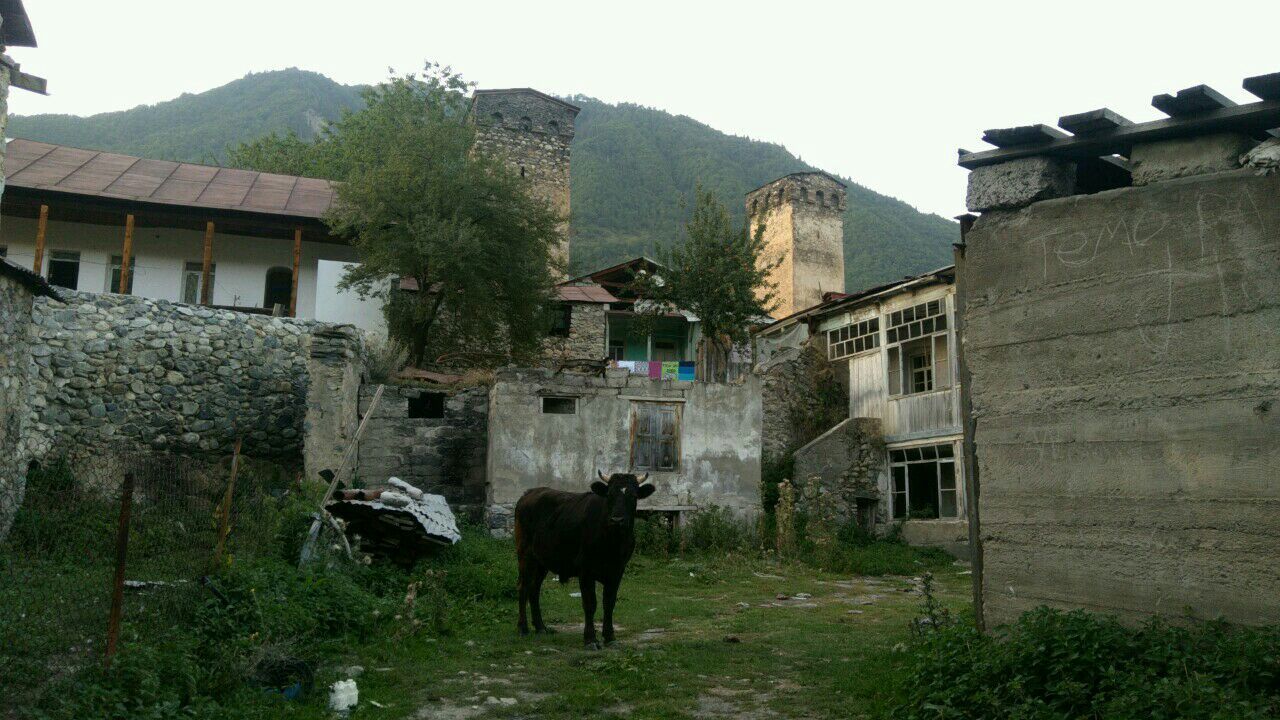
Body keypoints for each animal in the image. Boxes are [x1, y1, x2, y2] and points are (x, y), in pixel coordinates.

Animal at [512, 468, 655, 648]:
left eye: (634, 495)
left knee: (534, 589)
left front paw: (610, 637)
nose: (617, 520)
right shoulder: (586, 569)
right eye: (609, 494)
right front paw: (590, 639)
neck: (612, 542)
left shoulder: (617, 570)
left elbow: (609, 602)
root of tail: (529, 493)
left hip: (541, 561)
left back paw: (541, 627)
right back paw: (522, 628)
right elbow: (590, 603)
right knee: (523, 586)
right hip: (525, 554)